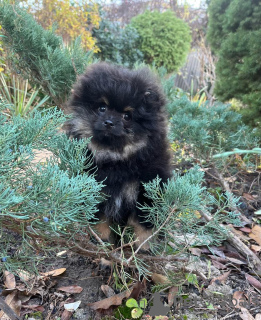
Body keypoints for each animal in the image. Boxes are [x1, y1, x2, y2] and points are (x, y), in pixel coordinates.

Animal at [64, 62, 172, 248]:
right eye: (102, 108)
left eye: (127, 116)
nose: (109, 122)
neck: (116, 159)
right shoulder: (98, 191)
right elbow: (100, 219)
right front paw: (102, 242)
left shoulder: (147, 190)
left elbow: (144, 224)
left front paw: (142, 246)